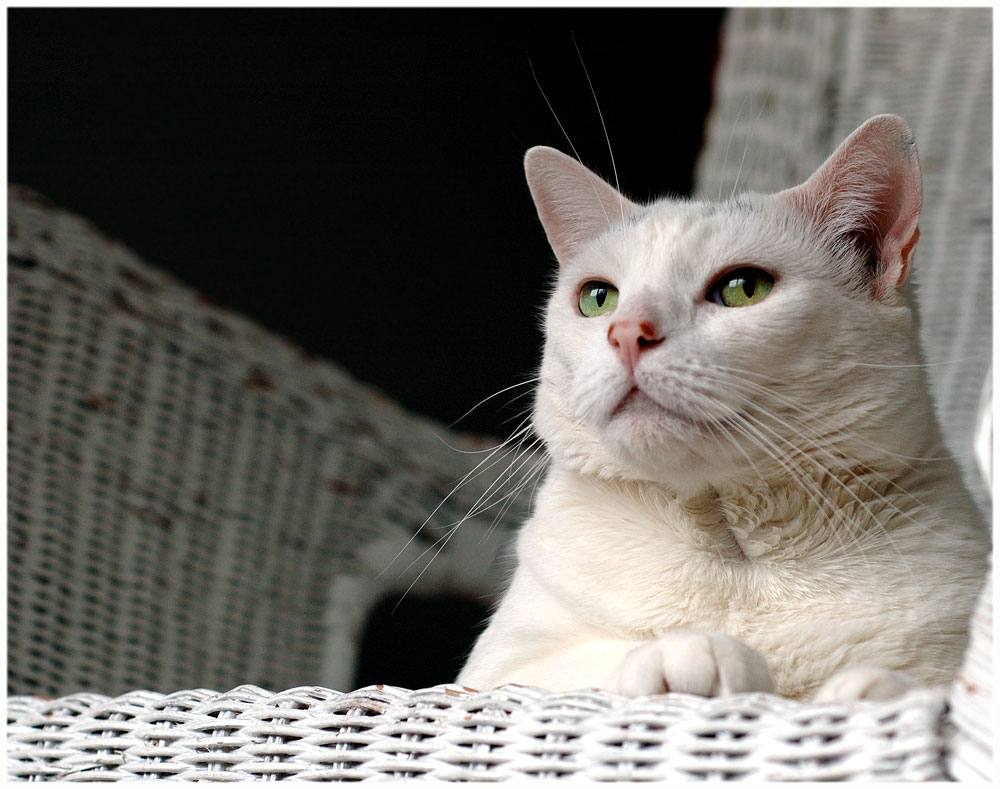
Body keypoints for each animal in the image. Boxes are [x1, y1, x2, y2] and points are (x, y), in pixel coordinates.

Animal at [458, 114, 988, 700]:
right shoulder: (491, 673)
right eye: (598, 298)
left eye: (743, 288)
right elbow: (576, 665)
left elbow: (924, 688)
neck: (737, 554)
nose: (627, 332)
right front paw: (693, 651)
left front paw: (865, 692)